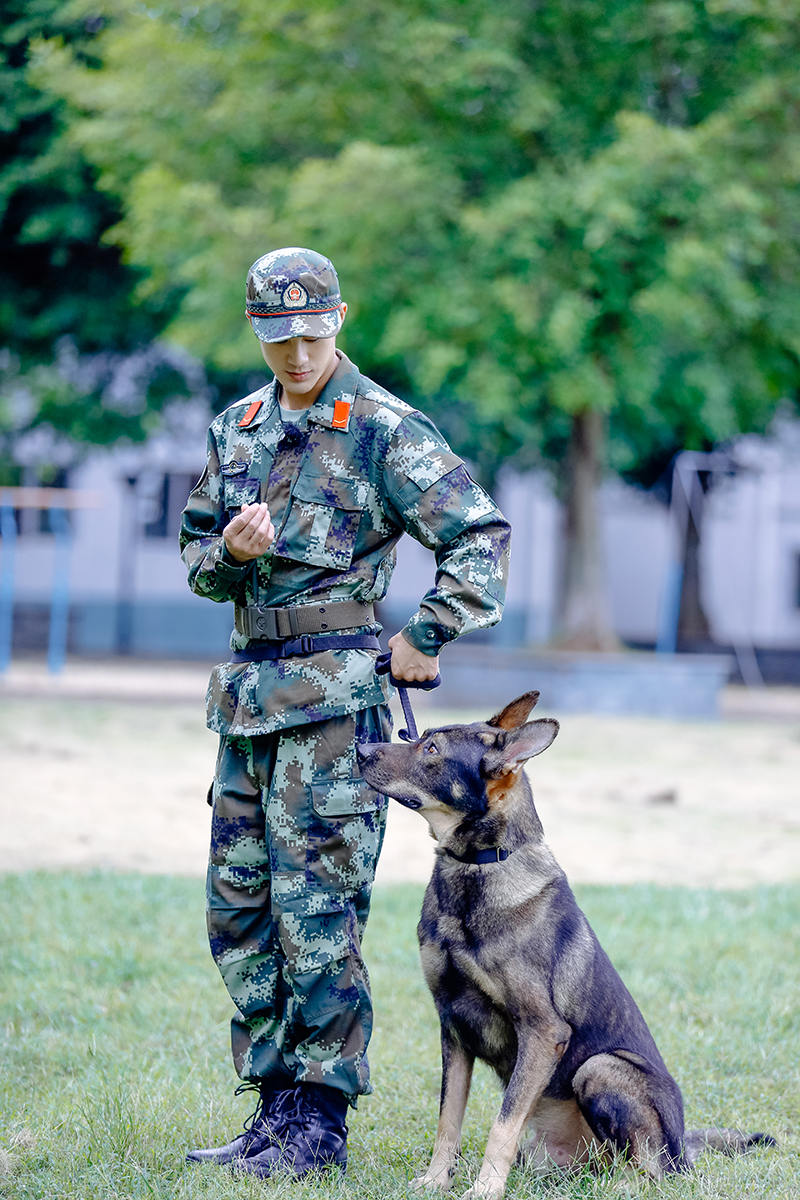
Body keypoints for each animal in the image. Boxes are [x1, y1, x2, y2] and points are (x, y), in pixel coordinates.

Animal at [357, 696, 777, 1200]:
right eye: (418, 737)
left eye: (432, 748)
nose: (360, 749)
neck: (479, 867)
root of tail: (684, 1153)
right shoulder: (453, 1028)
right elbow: (448, 1119)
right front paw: (437, 1180)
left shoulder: (542, 1031)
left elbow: (502, 1122)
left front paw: (485, 1188)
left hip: (600, 1068)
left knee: (646, 1172)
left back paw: (623, 1186)